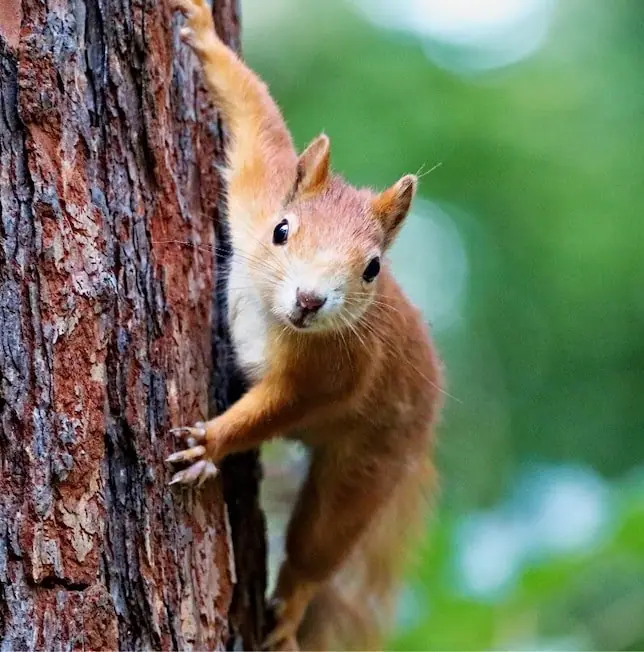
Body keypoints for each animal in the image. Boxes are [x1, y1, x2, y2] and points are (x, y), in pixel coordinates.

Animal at [165, 0, 443, 649]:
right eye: (282, 230)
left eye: (372, 268)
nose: (311, 300)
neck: (274, 317)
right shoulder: (256, 193)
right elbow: (257, 117)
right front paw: (205, 34)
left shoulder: (335, 370)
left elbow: (277, 407)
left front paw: (211, 442)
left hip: (369, 465)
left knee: (318, 548)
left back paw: (289, 612)